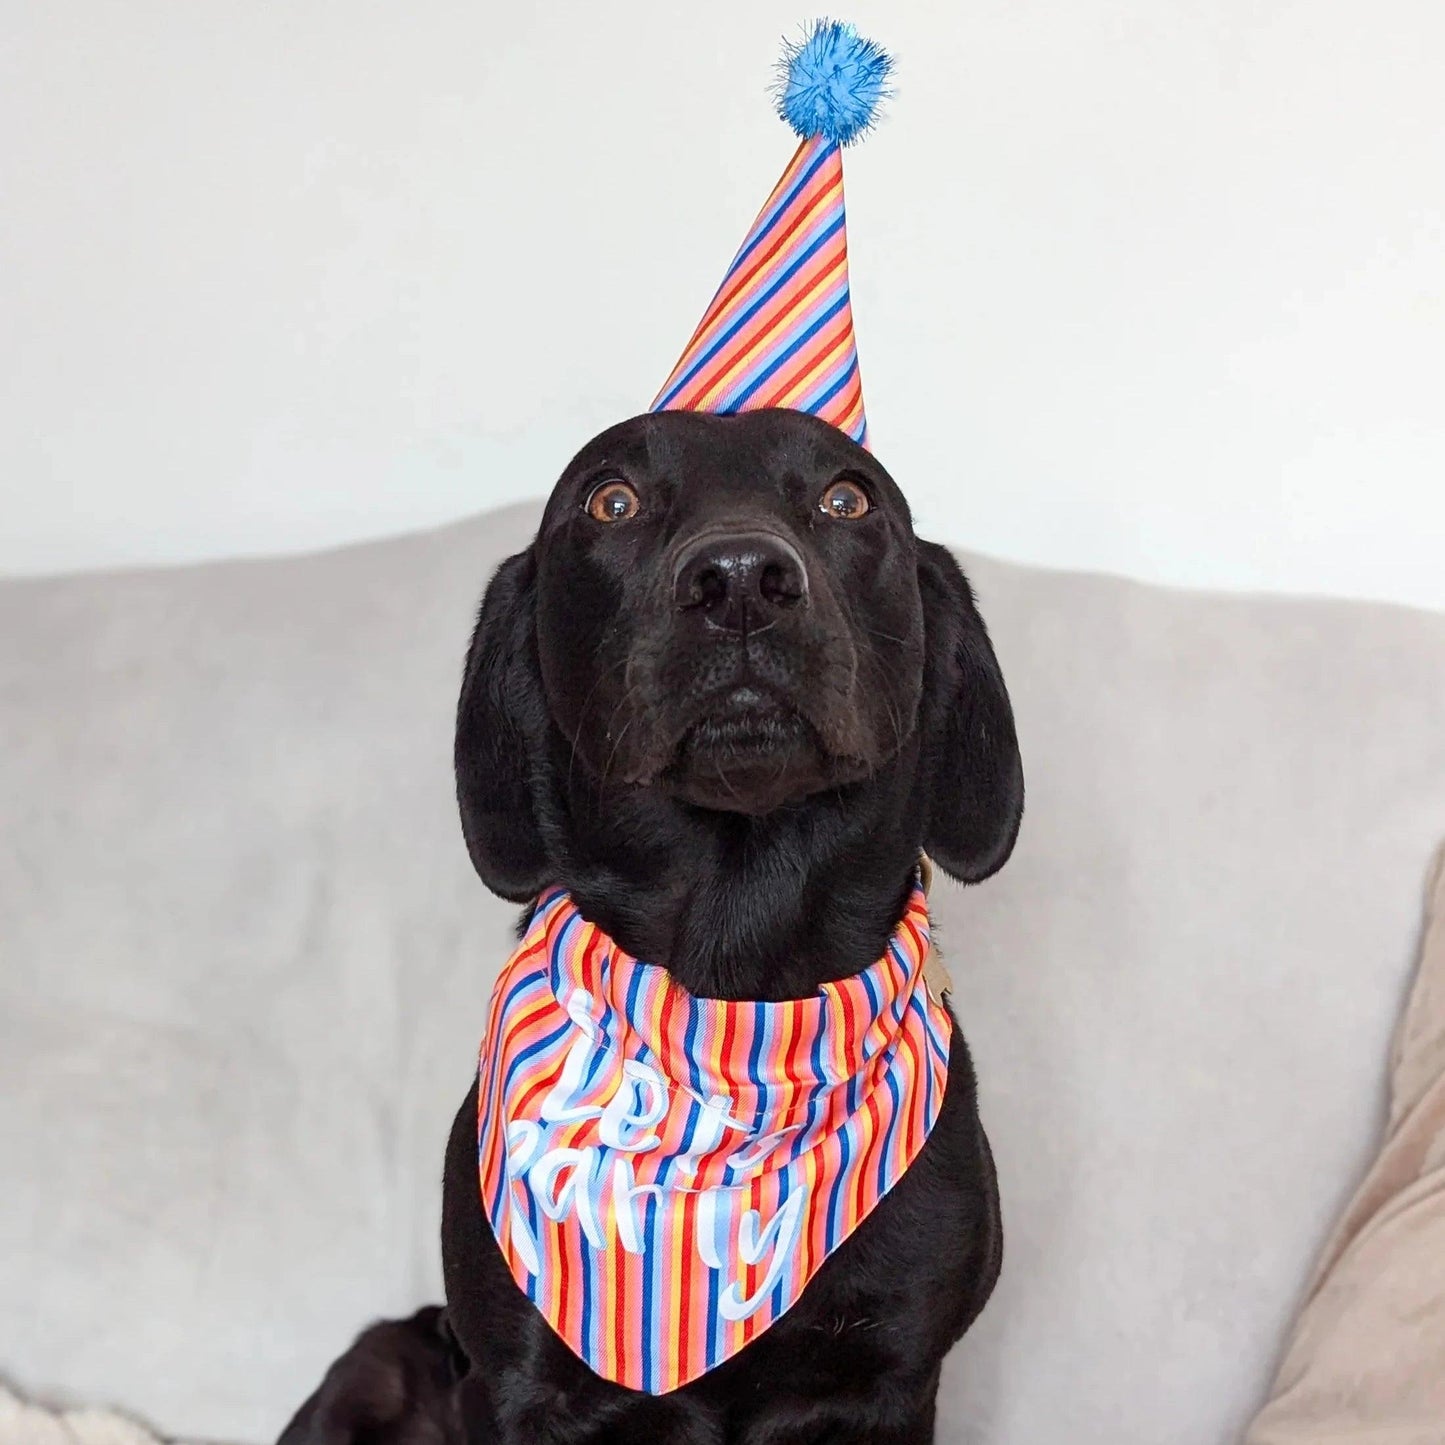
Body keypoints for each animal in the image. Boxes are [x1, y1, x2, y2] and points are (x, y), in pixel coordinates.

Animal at [281, 410, 1023, 1445]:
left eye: (847, 498)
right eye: (611, 499)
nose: (742, 578)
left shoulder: (891, 1381)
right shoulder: (523, 1386)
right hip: (376, 1368)